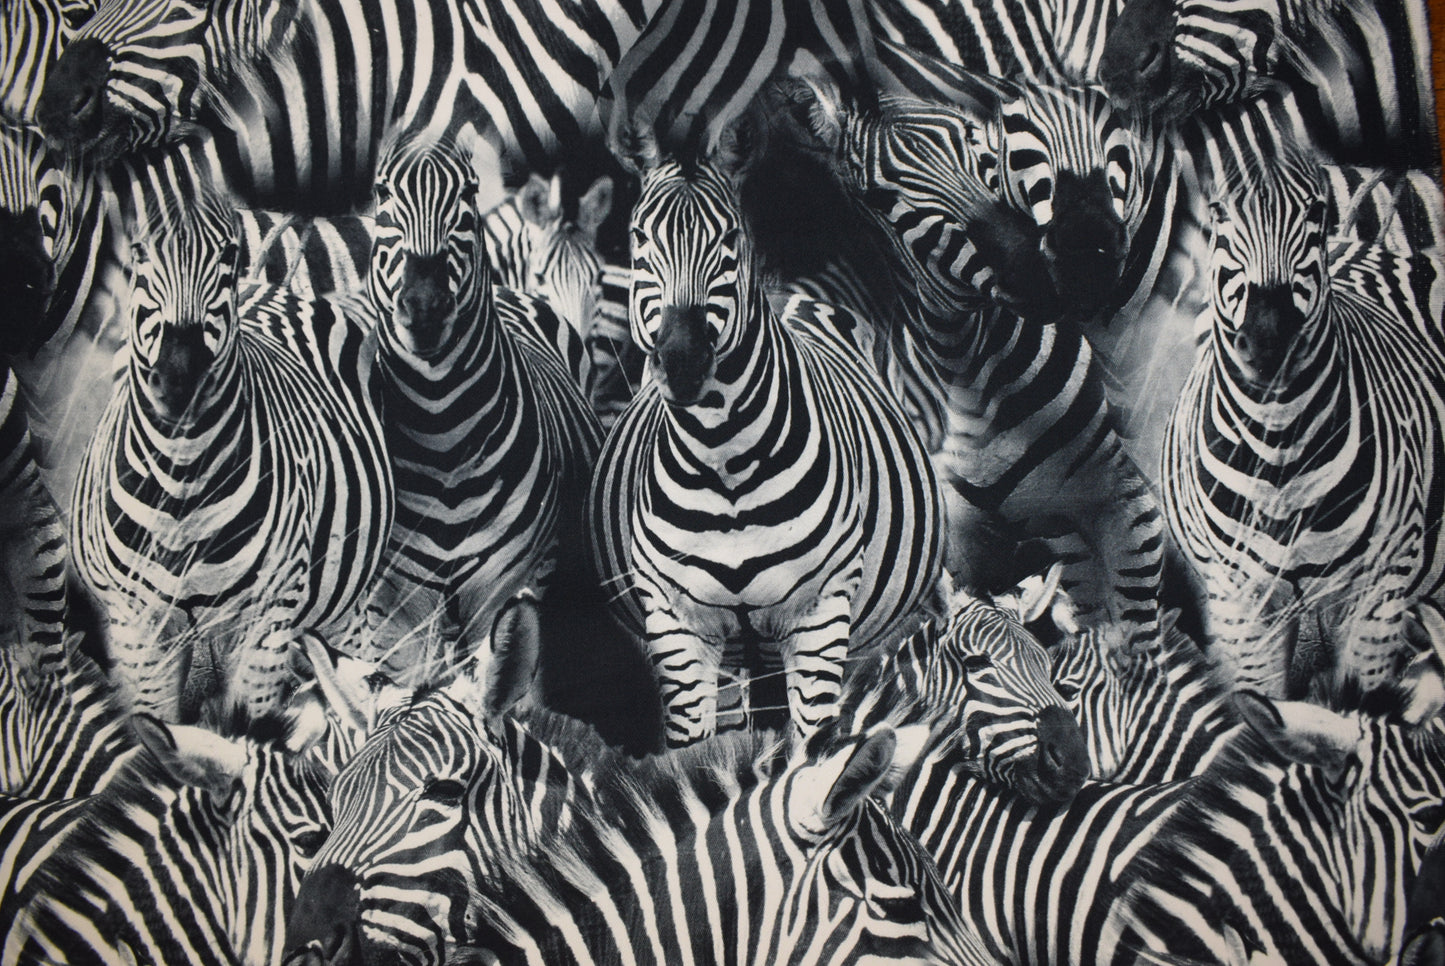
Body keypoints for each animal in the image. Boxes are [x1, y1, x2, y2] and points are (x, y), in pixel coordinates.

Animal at [69, 167, 394, 722]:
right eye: (139, 252)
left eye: (226, 254)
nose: (180, 380)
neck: (180, 484)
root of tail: (265, 287)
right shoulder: (140, 626)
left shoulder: (266, 622)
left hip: (343, 591)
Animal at [362, 135, 601, 689]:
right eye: (382, 191)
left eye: (468, 193)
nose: (424, 305)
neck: (441, 434)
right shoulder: (393, 613)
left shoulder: (500, 591)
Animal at [589, 111, 947, 747]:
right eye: (640, 239)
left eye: (729, 241)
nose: (682, 363)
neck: (722, 459)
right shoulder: (678, 626)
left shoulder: (819, 618)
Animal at [1163, 142, 1445, 700]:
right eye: (1219, 212)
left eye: (1314, 210)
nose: (1269, 341)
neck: (1278, 457)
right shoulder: (1242, 605)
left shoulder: (1377, 597)